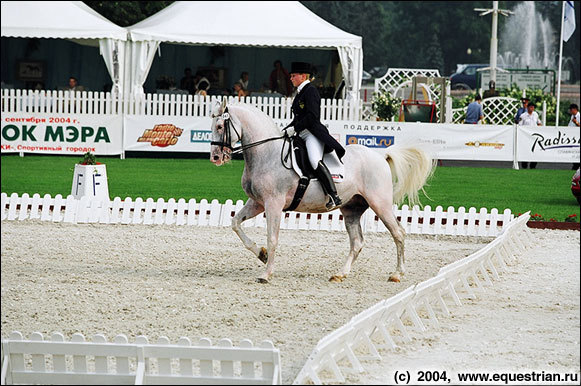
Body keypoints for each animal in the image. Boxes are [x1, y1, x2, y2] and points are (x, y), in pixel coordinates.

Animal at [211, 101, 432, 284]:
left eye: (220, 127)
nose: (215, 157)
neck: (267, 154)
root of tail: (380, 155)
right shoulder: (257, 203)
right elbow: (235, 223)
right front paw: (261, 254)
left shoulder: (273, 203)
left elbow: (272, 238)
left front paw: (266, 274)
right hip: (352, 208)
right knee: (357, 242)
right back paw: (340, 274)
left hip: (380, 204)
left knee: (398, 233)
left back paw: (397, 274)